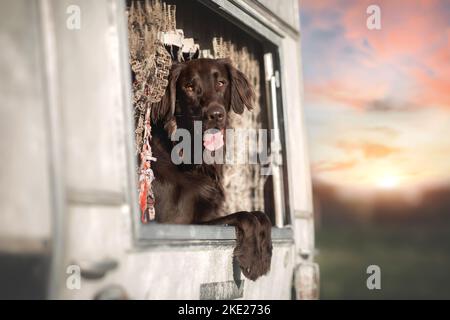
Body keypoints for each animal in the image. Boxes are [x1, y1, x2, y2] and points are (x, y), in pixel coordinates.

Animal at [149, 58, 272, 280]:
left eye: (221, 83)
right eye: (189, 87)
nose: (215, 115)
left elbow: (261, 215)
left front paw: (264, 256)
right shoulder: (177, 224)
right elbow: (246, 216)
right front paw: (253, 257)